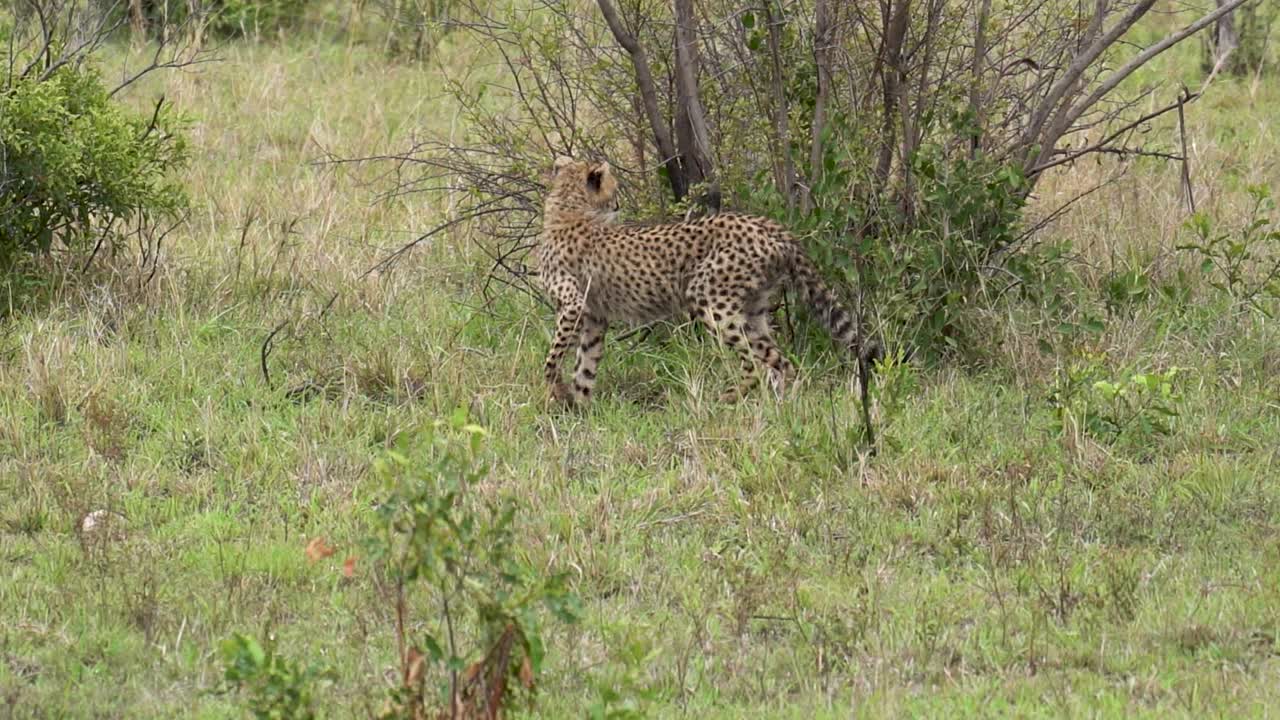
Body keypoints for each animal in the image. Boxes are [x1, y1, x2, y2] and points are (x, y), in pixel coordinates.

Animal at [535, 155, 878, 407]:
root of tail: (768, 224)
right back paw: (782, 407)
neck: (569, 208)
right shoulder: (594, 316)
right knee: (779, 361)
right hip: (752, 309)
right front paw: (579, 411)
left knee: (756, 363)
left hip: (710, 301)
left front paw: (557, 396)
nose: (618, 205)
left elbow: (551, 360)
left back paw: (729, 397)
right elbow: (585, 366)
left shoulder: (573, 305)